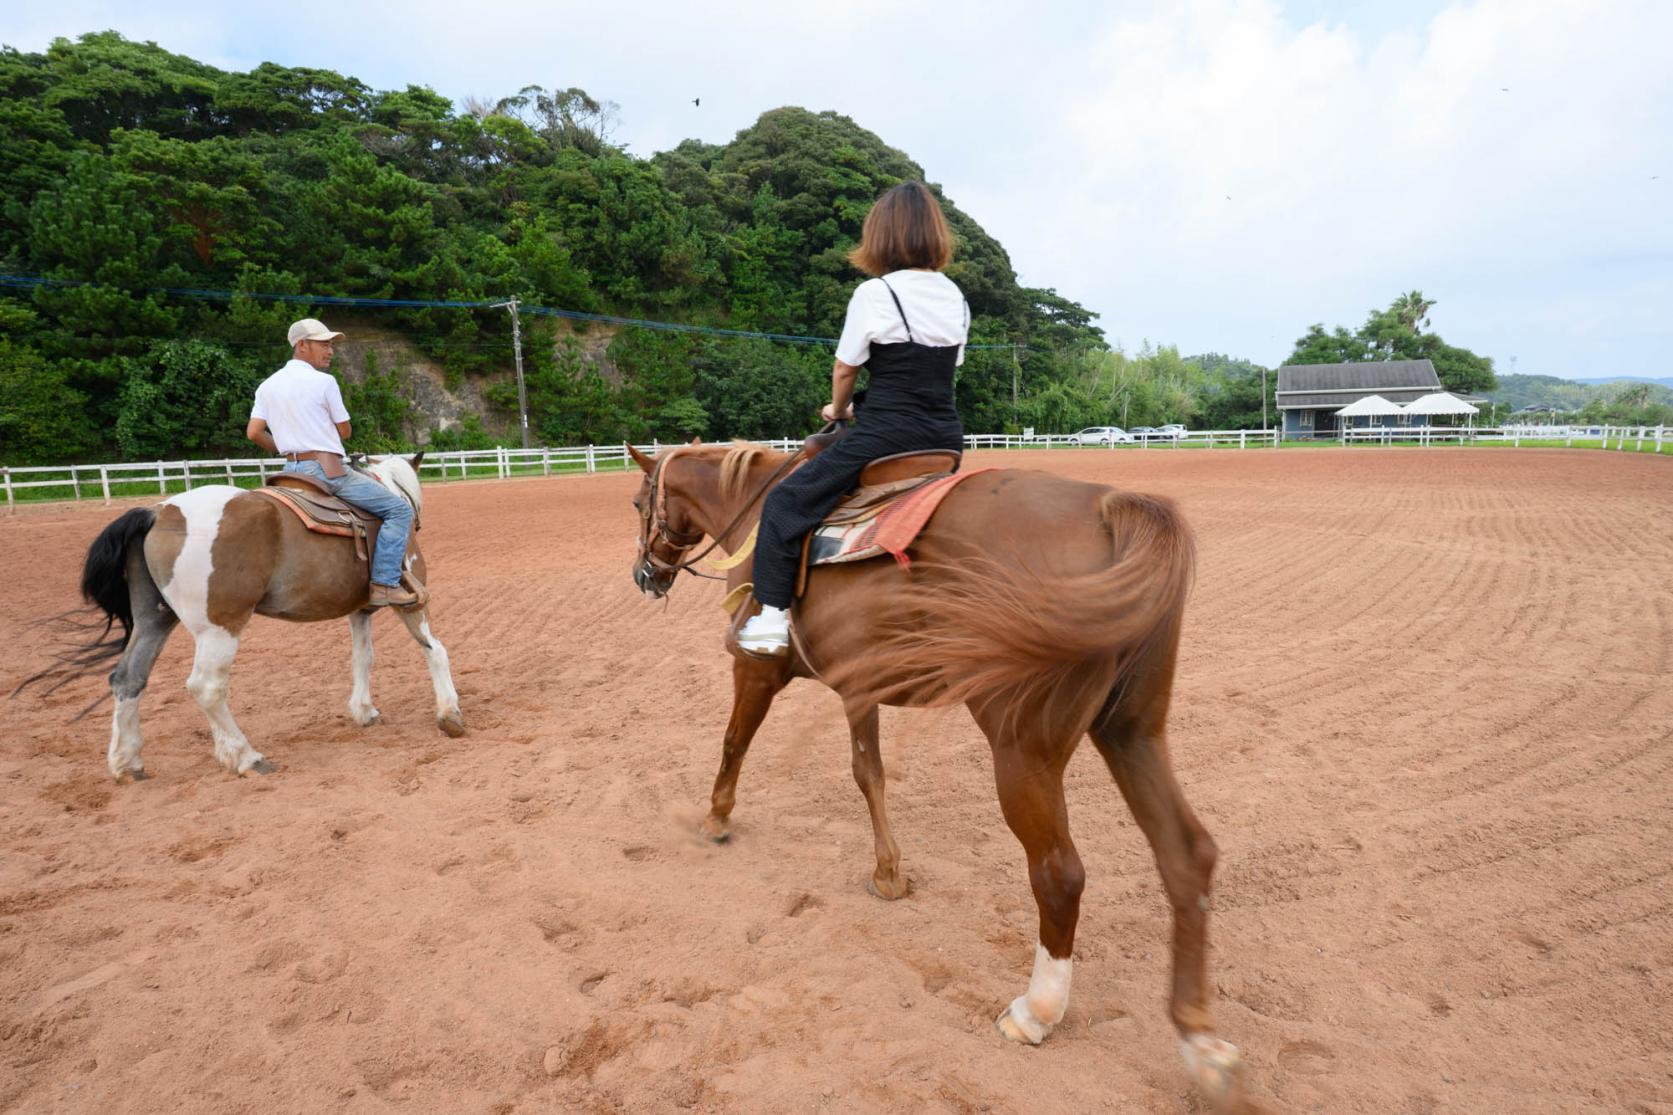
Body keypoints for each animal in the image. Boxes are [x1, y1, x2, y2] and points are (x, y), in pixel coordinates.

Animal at [25, 454, 464, 780]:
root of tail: (159, 512)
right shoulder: (410, 602)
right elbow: (435, 649)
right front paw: (449, 714)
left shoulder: (359, 611)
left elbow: (363, 658)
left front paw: (364, 712)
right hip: (219, 627)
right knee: (206, 687)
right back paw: (245, 756)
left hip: (154, 620)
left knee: (128, 678)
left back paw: (127, 762)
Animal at [629, 439, 1248, 1111]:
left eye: (638, 503)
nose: (645, 574)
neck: (758, 507)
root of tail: (1111, 511)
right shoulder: (858, 686)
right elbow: (868, 773)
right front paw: (888, 873)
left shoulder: (755, 669)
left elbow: (735, 741)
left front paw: (715, 818)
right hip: (1132, 730)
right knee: (1186, 854)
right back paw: (1204, 1045)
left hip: (1023, 748)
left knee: (1059, 873)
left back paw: (1036, 1011)